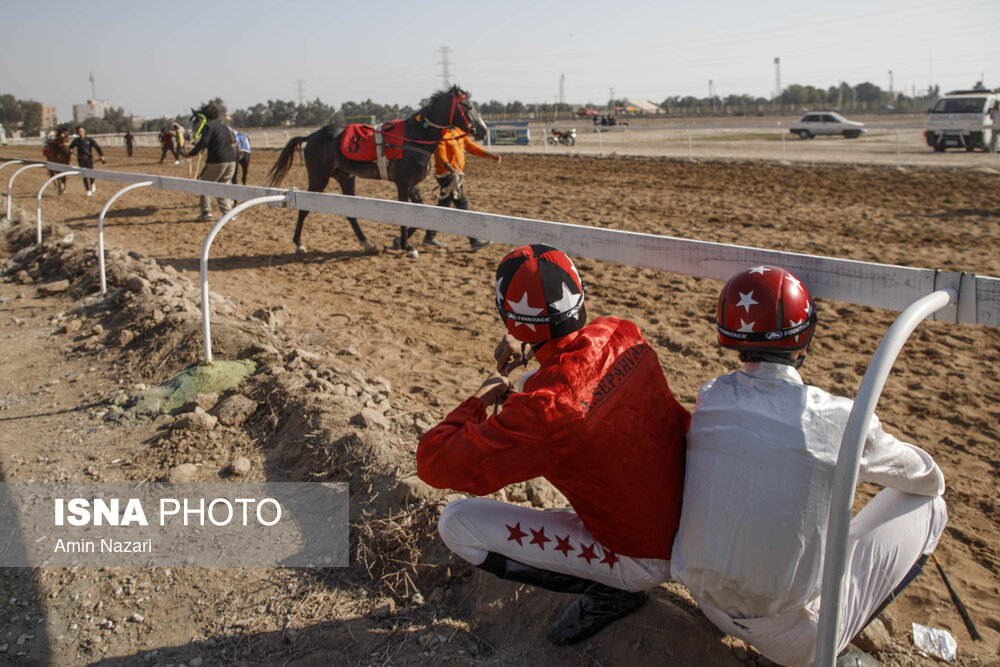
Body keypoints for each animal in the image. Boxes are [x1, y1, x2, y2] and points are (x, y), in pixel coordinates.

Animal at [264, 86, 486, 258]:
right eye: (468, 106)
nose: (483, 131)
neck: (414, 137)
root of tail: (311, 136)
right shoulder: (403, 183)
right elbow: (406, 213)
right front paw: (407, 246)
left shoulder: (412, 183)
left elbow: (419, 210)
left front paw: (398, 241)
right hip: (319, 178)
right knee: (304, 208)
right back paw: (299, 244)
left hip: (346, 177)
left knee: (350, 213)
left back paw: (367, 244)